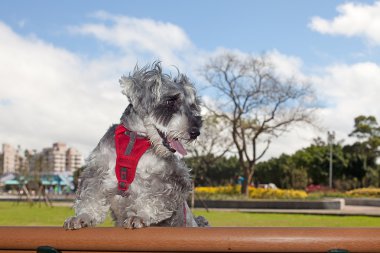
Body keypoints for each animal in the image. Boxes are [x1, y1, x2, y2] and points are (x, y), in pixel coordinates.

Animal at [63, 61, 209, 229]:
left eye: (192, 106)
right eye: (170, 101)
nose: (195, 132)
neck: (135, 138)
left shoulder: (174, 178)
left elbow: (155, 198)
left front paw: (140, 216)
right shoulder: (97, 171)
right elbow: (90, 196)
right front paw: (82, 217)